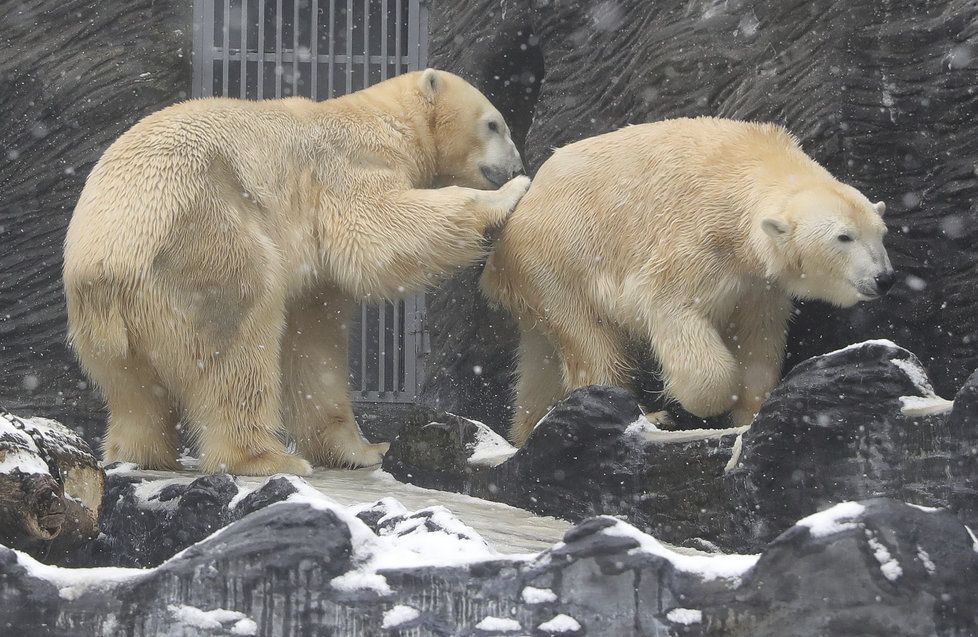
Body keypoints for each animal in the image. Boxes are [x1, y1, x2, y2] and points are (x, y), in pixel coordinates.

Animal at [65, 72, 528, 474]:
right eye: (494, 124)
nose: (517, 166)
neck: (387, 119)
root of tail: (109, 259)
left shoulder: (314, 276)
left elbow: (313, 342)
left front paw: (364, 450)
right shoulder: (347, 164)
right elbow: (378, 226)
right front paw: (510, 195)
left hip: (101, 325)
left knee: (133, 391)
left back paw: (138, 454)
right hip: (205, 249)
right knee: (237, 348)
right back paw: (266, 458)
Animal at [480, 119, 892, 448]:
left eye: (881, 232)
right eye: (844, 237)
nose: (884, 278)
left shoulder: (759, 284)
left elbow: (759, 335)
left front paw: (754, 412)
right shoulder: (696, 239)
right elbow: (672, 309)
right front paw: (711, 400)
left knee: (542, 357)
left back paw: (526, 428)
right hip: (560, 257)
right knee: (591, 339)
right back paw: (644, 415)